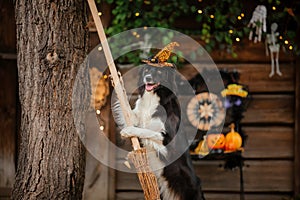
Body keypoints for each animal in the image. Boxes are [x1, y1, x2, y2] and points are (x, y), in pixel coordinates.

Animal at [112, 64, 204, 200]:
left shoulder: (169, 140)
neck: (152, 98)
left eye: (160, 71)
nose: (147, 77)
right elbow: (127, 109)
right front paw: (118, 82)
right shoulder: (135, 117)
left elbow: (146, 131)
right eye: (146, 70)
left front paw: (128, 131)